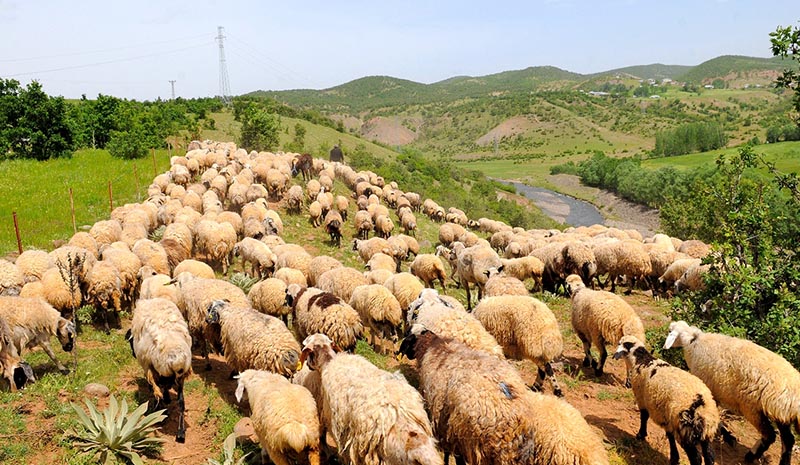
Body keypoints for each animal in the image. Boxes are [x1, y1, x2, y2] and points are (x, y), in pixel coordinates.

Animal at [126, 298, 192, 442]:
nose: (132, 353)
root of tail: (176, 358)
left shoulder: (150, 368)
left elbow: (158, 388)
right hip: (180, 375)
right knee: (181, 401)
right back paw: (180, 432)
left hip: (157, 368)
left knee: (160, 390)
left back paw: (162, 413)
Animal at [612, 336, 720, 464]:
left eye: (620, 344)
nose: (614, 356)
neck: (641, 361)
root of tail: (700, 403)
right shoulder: (666, 417)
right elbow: (669, 435)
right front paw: (674, 457)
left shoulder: (641, 399)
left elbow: (644, 417)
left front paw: (641, 435)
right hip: (706, 432)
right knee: (709, 455)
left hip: (684, 431)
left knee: (696, 457)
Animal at [664, 320, 800, 464]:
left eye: (670, 331)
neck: (694, 342)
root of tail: (794, 396)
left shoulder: (709, 389)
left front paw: (727, 436)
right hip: (781, 412)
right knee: (788, 440)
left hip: (753, 408)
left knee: (770, 435)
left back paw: (751, 456)